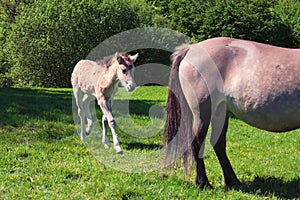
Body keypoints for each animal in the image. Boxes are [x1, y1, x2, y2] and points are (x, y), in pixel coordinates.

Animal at [165, 37, 298, 189]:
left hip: (221, 112)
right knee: (197, 143)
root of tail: (190, 49)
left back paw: (233, 182)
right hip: (202, 114)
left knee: (218, 144)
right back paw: (203, 183)